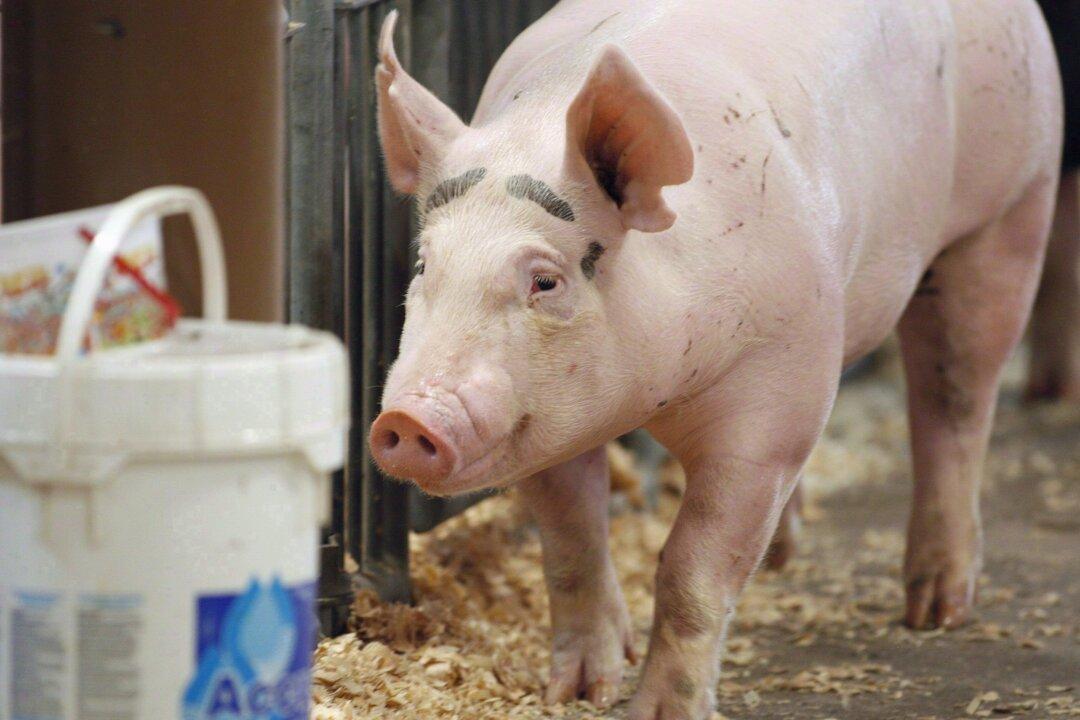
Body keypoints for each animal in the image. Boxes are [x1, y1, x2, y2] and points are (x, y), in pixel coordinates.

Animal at [368, 2, 1063, 718]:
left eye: (545, 280)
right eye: (423, 265)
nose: (408, 419)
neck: (660, 391)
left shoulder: (773, 405)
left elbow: (691, 570)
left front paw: (660, 711)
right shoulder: (541, 421)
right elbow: (571, 544)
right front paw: (578, 691)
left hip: (1014, 202)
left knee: (958, 399)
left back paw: (937, 612)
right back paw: (785, 556)